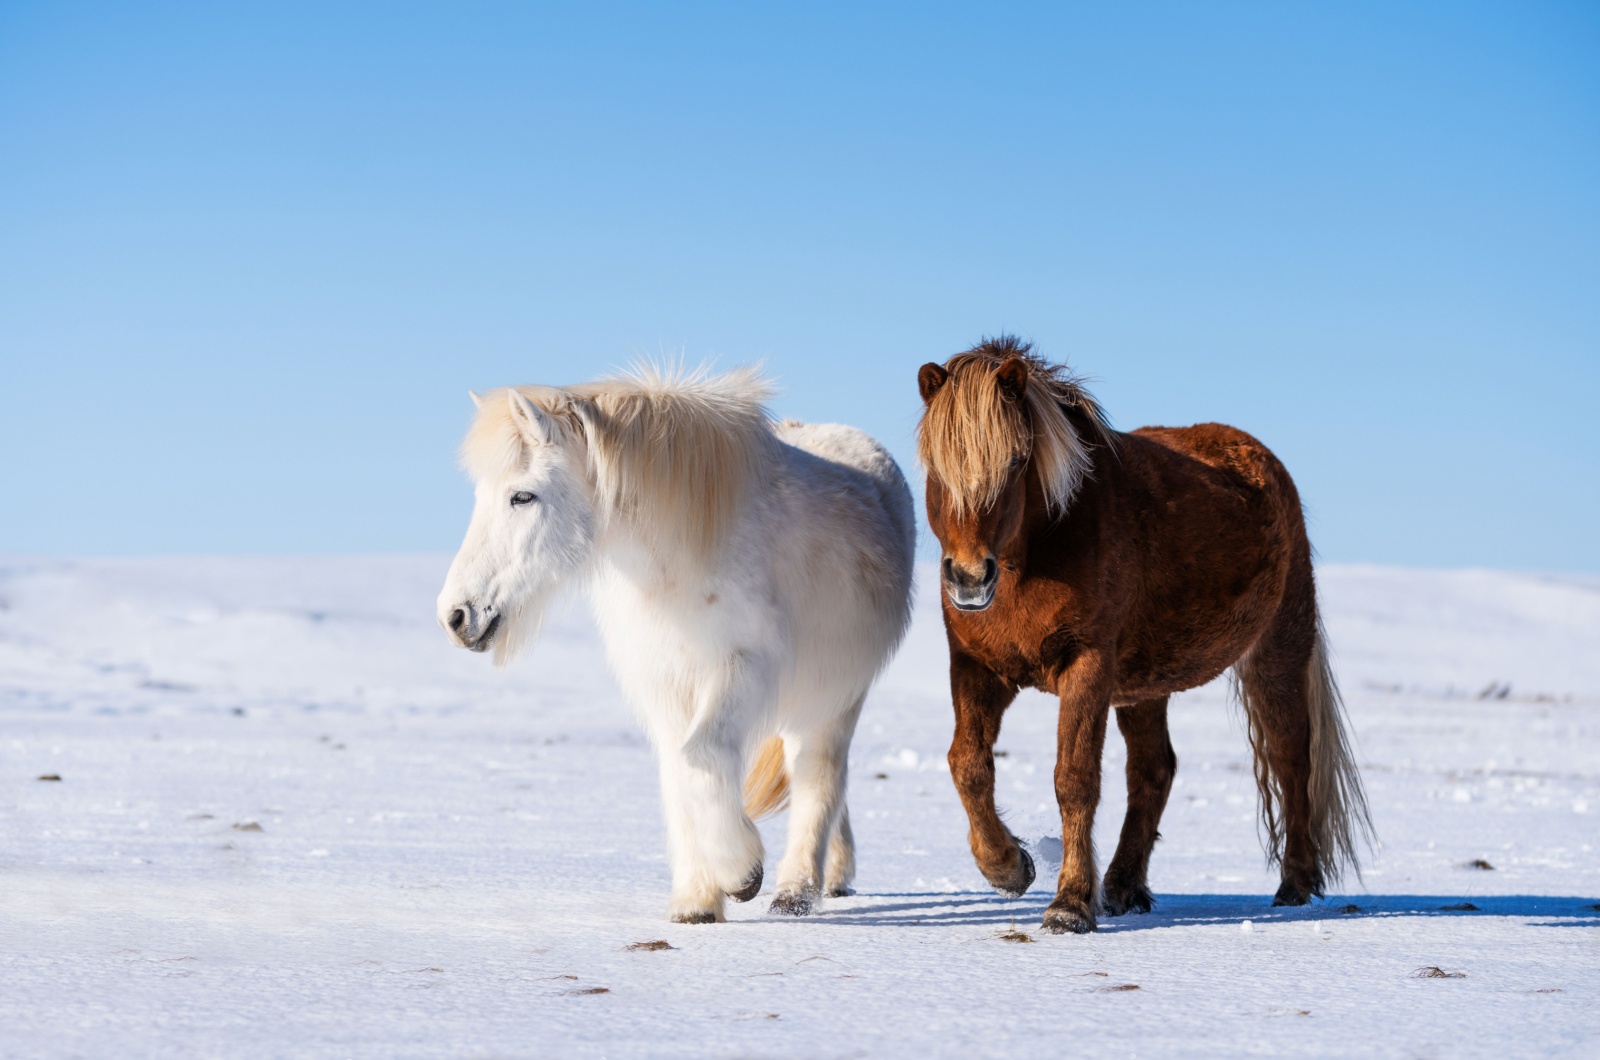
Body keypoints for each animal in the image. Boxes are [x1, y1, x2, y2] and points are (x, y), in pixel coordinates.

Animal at [435, 368, 915, 922]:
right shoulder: (663, 681)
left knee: (819, 775)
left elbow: (701, 755)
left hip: (831, 700)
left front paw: (741, 873)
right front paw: (696, 902)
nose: (455, 615)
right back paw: (833, 877)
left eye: (522, 496)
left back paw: (797, 891)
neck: (681, 558)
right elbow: (677, 774)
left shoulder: (745, 667)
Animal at [921, 336, 1369, 935]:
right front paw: (1008, 867)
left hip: (1277, 655)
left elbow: (1075, 779)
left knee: (1291, 758)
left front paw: (1069, 904)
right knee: (1155, 770)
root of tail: (1264, 463)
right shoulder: (976, 667)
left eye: (1015, 461)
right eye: (935, 465)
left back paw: (1295, 885)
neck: (1040, 548)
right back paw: (1123, 885)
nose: (970, 578)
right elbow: (968, 765)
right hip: (1144, 688)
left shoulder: (1086, 664)